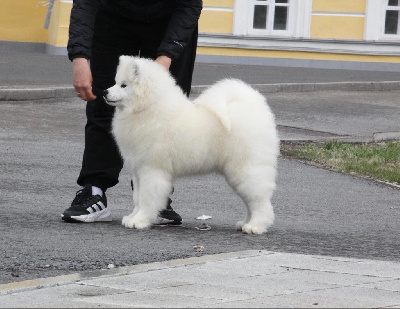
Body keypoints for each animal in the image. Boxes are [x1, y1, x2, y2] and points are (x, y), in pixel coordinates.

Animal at [104, 56, 278, 233]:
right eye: (116, 82)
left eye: (124, 85)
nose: (105, 92)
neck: (147, 108)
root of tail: (253, 106)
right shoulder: (138, 171)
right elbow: (137, 198)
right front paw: (132, 217)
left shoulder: (151, 170)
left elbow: (146, 199)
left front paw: (140, 220)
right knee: (250, 202)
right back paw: (245, 223)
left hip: (245, 169)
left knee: (260, 201)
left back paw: (256, 226)